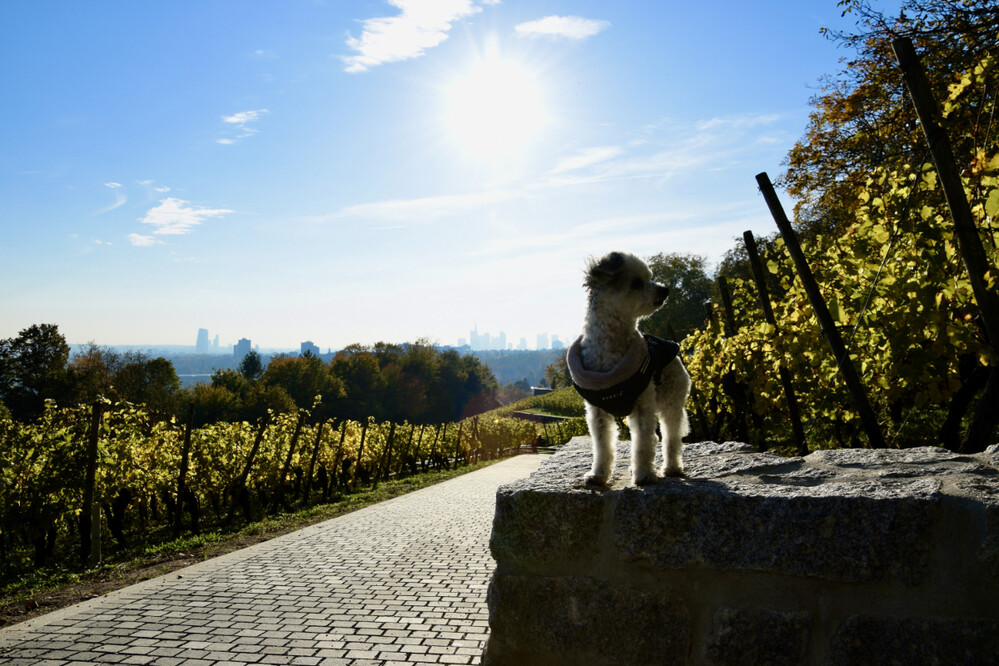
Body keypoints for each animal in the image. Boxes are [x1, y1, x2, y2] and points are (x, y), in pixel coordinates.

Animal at [568, 249, 692, 482]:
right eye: (636, 283)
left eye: (650, 277)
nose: (665, 289)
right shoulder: (597, 414)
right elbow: (603, 447)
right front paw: (598, 475)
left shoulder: (643, 406)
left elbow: (643, 443)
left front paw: (644, 475)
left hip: (672, 401)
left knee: (670, 437)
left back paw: (671, 468)